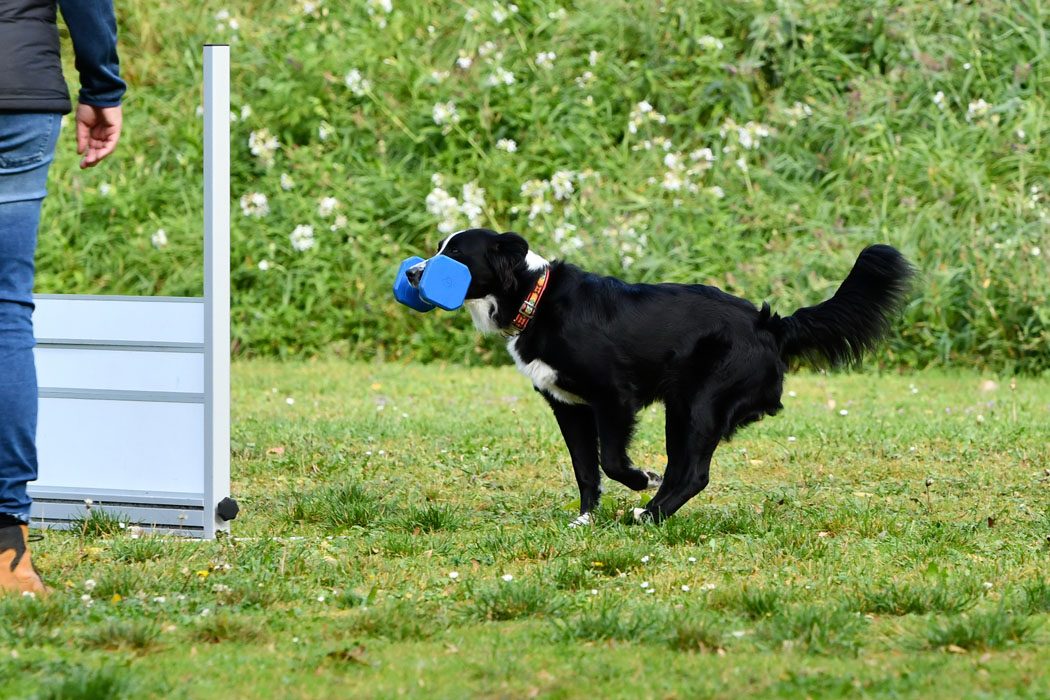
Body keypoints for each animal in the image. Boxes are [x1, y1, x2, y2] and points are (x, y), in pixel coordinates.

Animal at [405, 229, 915, 524]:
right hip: (683, 407)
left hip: (699, 404)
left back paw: (648, 514)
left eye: (454, 253)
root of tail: (770, 324)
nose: (411, 275)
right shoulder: (567, 406)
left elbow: (611, 460)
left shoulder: (614, 397)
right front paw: (585, 520)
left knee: (693, 474)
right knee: (684, 470)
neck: (535, 296)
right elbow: (585, 469)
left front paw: (638, 478)